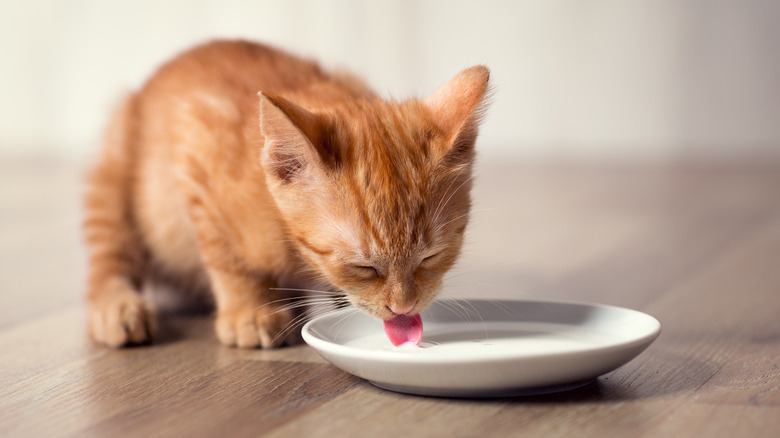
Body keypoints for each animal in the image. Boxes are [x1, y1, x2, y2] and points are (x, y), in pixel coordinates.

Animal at [84, 41, 488, 350]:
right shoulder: (194, 147)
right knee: (108, 258)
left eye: (432, 256)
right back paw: (118, 308)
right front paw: (248, 309)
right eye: (363, 266)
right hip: (114, 174)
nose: (404, 308)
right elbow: (226, 255)